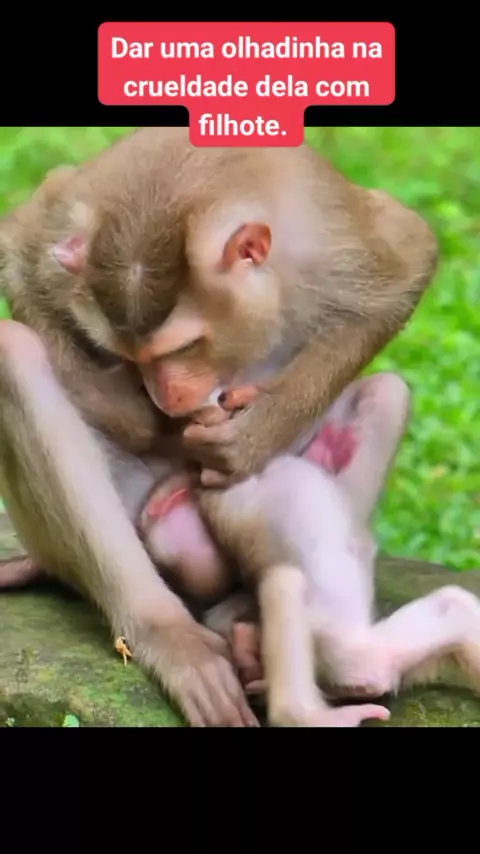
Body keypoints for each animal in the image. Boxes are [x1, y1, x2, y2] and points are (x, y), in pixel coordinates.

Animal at [0, 127, 438, 726]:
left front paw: (252, 436)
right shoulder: (64, 212)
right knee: (14, 353)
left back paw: (248, 622)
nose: (166, 397)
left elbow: (409, 257)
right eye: (128, 357)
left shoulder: (327, 233)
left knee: (385, 394)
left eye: (184, 346)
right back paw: (169, 633)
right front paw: (133, 415)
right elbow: (18, 253)